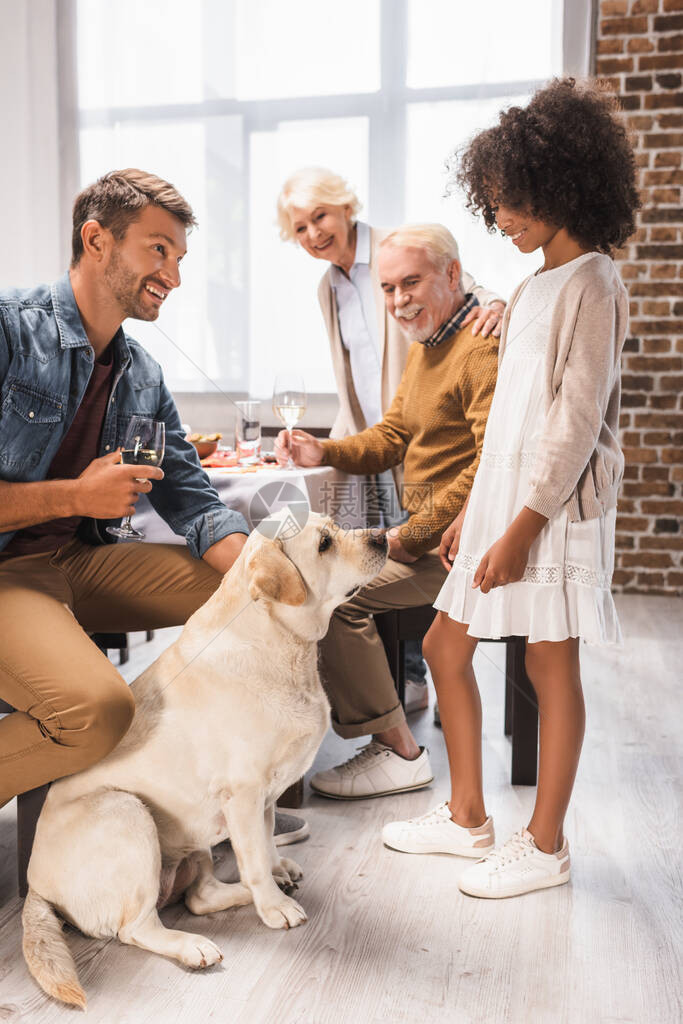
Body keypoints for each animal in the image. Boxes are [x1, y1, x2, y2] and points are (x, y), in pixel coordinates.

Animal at [21, 512, 387, 1007]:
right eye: (325, 543)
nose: (383, 536)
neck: (282, 644)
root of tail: (33, 887)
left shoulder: (266, 798)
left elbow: (266, 845)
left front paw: (278, 874)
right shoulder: (245, 793)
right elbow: (254, 859)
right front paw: (274, 908)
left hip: (195, 842)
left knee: (200, 897)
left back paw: (244, 897)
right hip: (127, 811)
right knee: (136, 927)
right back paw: (195, 945)